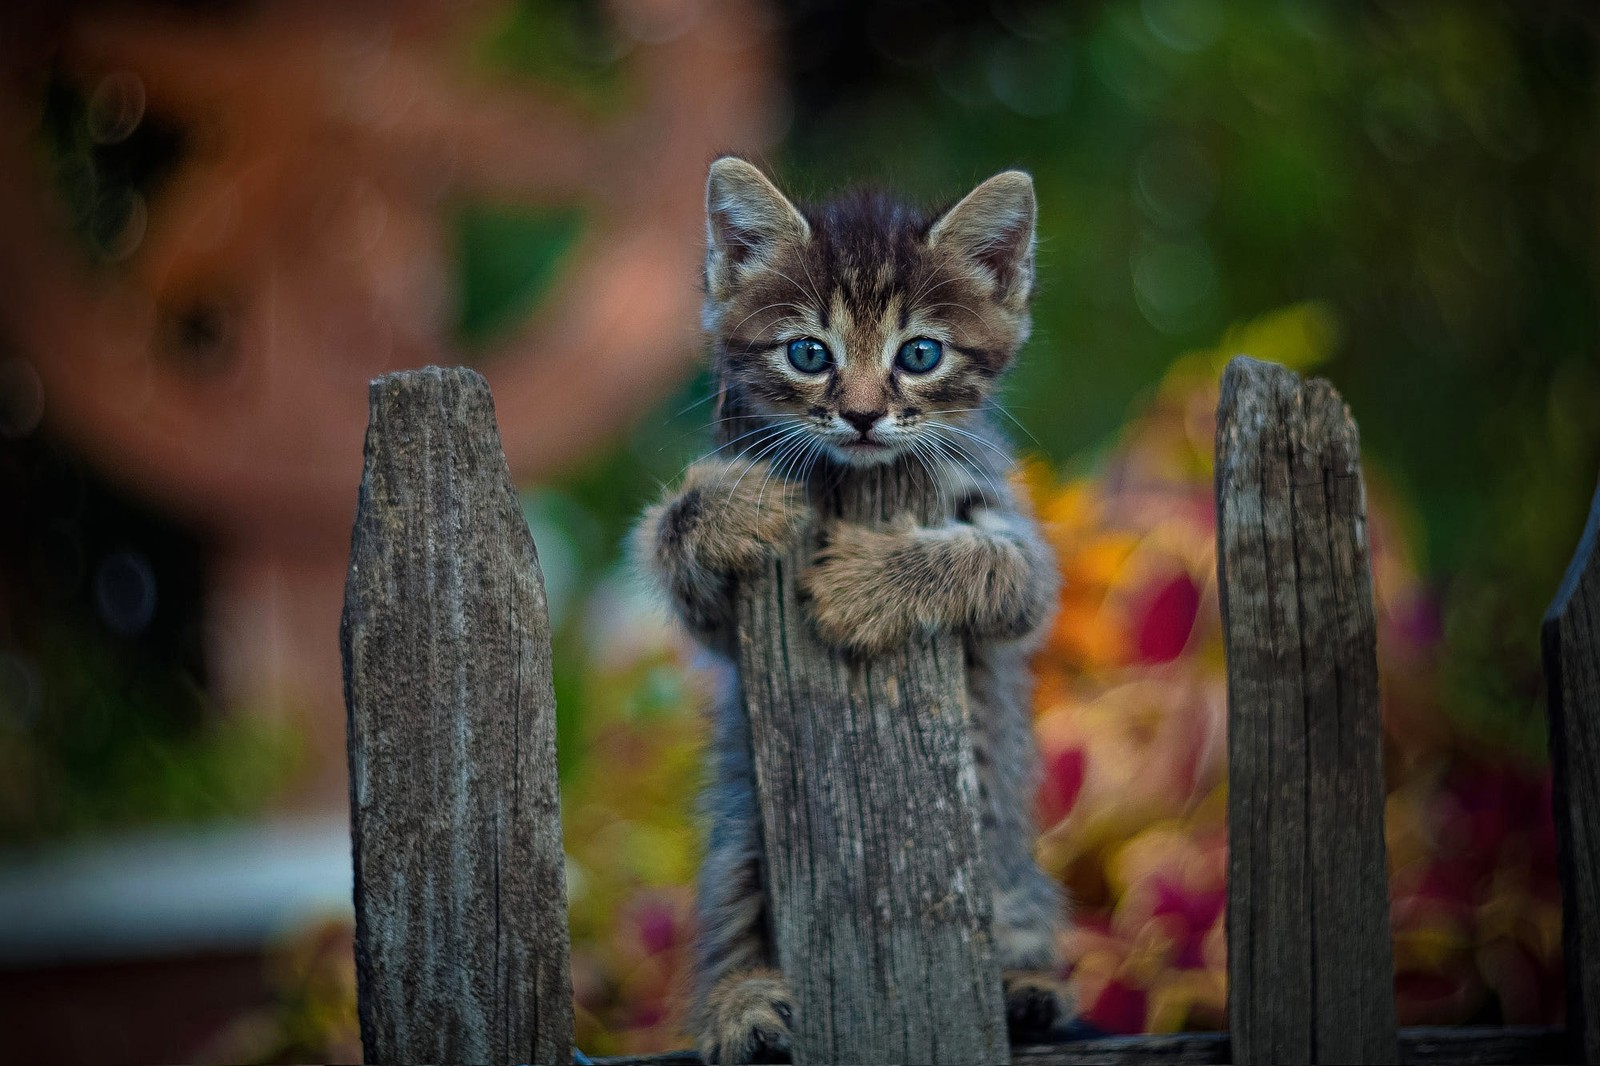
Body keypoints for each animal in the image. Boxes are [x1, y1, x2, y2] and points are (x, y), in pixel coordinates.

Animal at [630, 157, 1068, 1062]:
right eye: (809, 353)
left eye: (920, 354)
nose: (864, 414)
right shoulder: (722, 631)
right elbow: (673, 534)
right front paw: (726, 509)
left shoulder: (1027, 566)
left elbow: (989, 562)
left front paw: (864, 587)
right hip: (742, 838)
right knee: (731, 917)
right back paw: (741, 1006)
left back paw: (1026, 990)